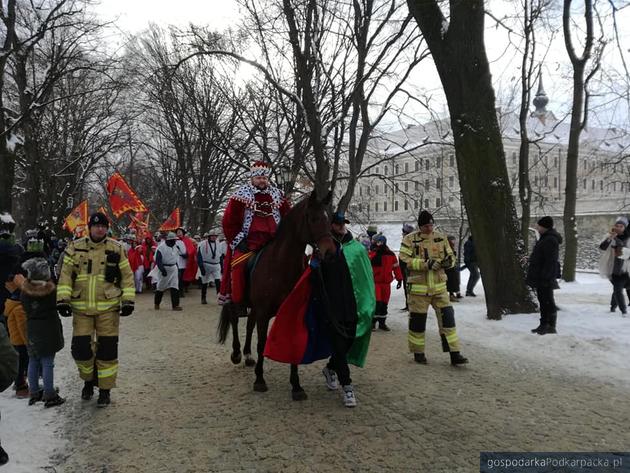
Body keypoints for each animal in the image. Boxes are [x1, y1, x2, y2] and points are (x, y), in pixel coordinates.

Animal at [217, 188, 338, 398]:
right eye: (314, 218)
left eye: (329, 218)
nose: (330, 252)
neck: (280, 265)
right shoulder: (264, 312)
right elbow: (261, 344)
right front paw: (259, 380)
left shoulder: (291, 311)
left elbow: (293, 343)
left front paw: (296, 386)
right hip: (235, 297)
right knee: (234, 319)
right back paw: (237, 353)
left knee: (249, 324)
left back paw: (248, 355)